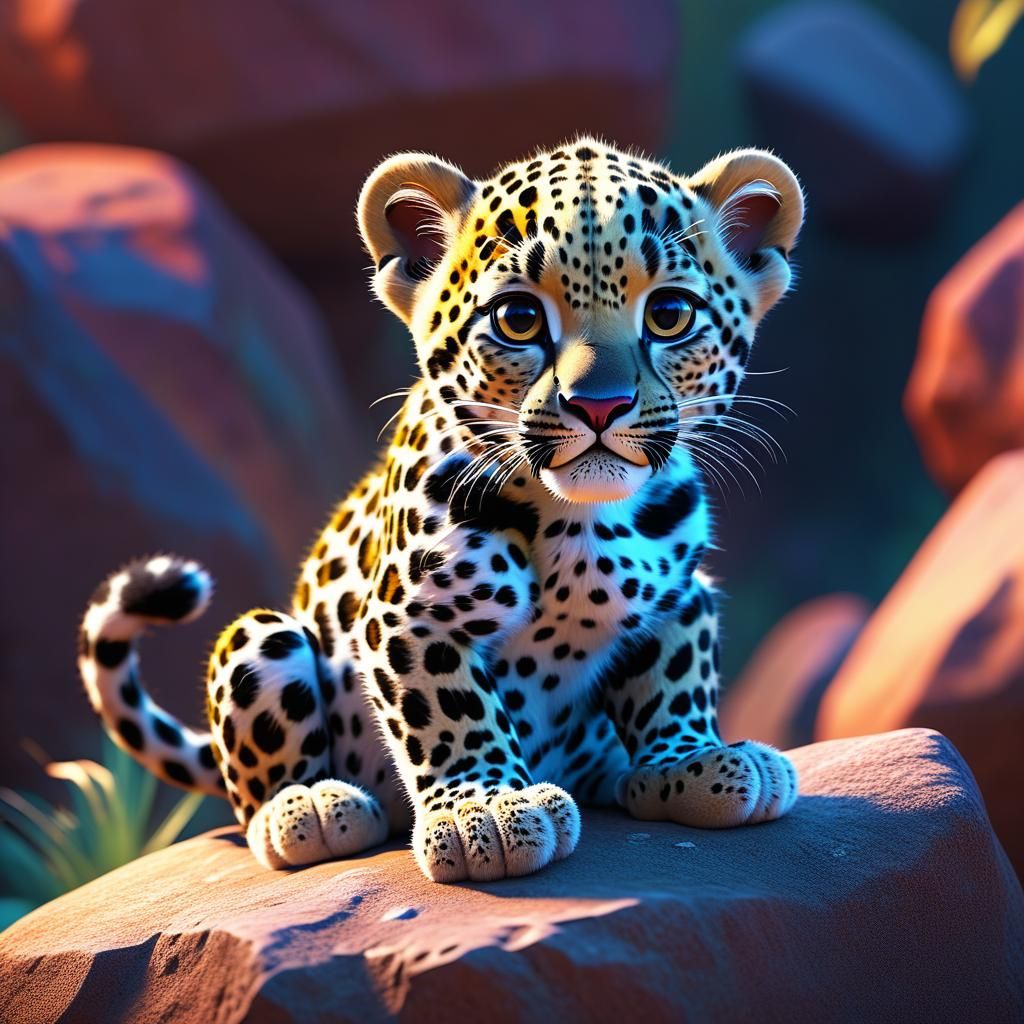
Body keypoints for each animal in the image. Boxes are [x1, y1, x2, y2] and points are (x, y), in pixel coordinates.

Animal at [78, 137, 804, 883]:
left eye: (669, 315)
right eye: (518, 320)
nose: (598, 406)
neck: (583, 523)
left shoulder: (683, 597)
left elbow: (673, 679)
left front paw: (694, 761)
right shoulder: (410, 615)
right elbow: (449, 706)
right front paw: (484, 810)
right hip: (262, 639)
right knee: (256, 780)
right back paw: (308, 807)